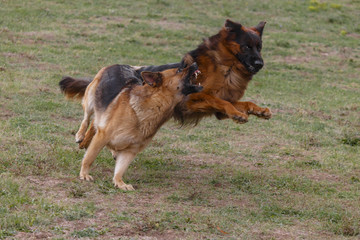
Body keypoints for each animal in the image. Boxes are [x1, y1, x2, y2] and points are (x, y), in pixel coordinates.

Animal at [60, 62, 204, 190]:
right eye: (179, 70)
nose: (195, 63)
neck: (153, 105)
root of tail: (121, 65)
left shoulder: (130, 150)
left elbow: (120, 169)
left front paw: (119, 183)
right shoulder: (103, 135)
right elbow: (90, 157)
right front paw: (84, 174)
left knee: (95, 124)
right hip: (90, 100)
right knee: (86, 118)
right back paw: (80, 135)